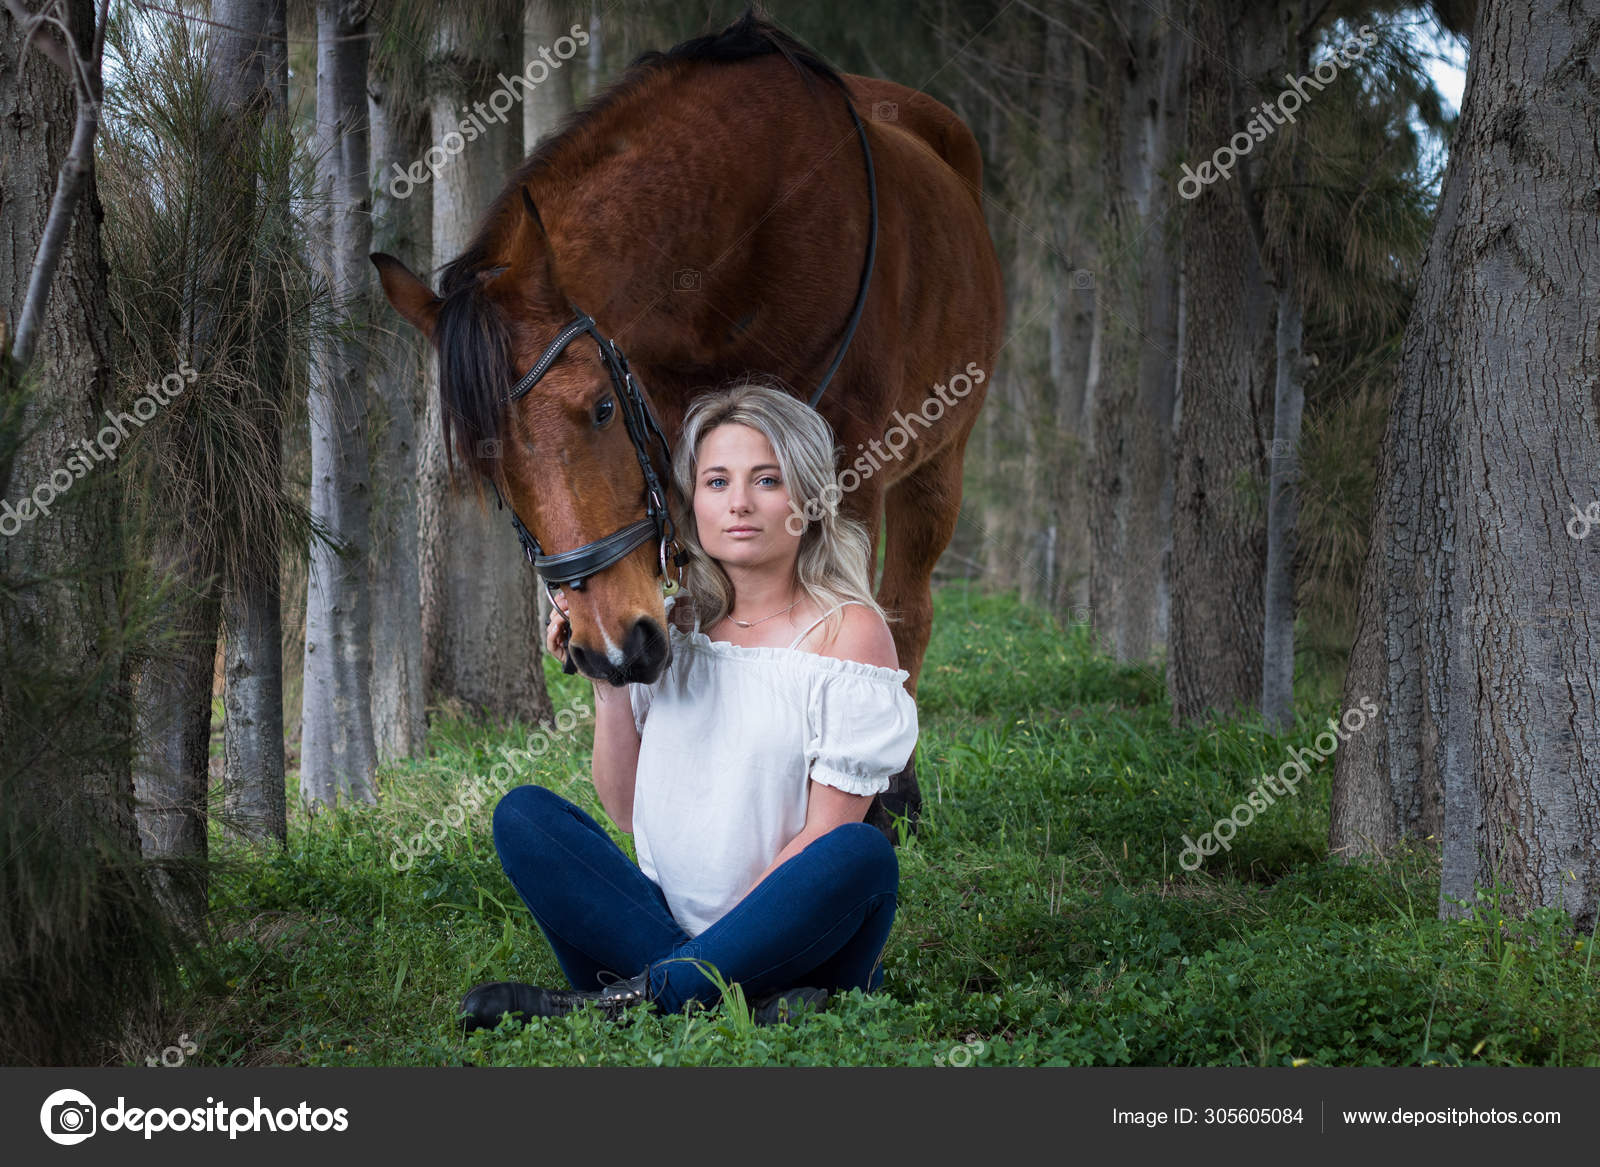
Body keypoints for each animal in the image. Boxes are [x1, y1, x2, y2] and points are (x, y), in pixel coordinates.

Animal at [374, 11, 998, 826]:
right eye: (486, 465)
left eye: (601, 407)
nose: (611, 652)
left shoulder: (849, 469)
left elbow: (854, 624)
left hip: (939, 460)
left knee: (906, 608)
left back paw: (897, 791)